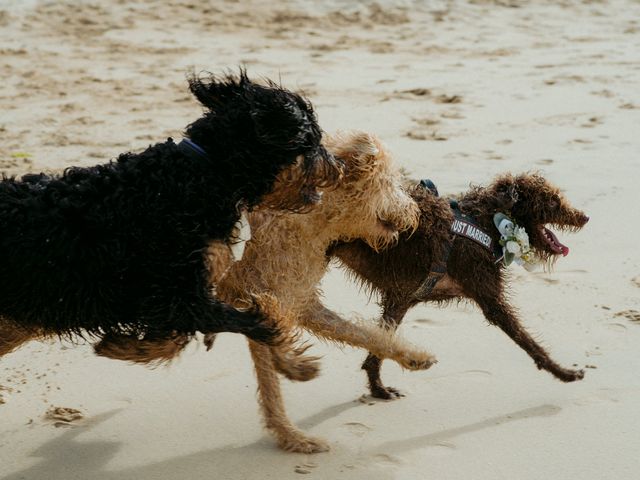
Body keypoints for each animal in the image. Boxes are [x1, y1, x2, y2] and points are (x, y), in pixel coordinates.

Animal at [0, 71, 340, 362]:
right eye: (313, 140)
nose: (338, 167)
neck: (203, 174)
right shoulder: (176, 291)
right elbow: (253, 321)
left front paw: (124, 346)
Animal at [212, 132, 438, 454]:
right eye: (391, 181)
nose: (415, 212)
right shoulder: (249, 288)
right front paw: (295, 373)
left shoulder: (298, 298)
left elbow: (363, 333)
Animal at [332, 174, 588, 400]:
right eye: (552, 200)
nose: (585, 217)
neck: (487, 221)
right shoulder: (491, 301)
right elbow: (530, 343)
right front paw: (565, 373)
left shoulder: (401, 299)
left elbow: (379, 346)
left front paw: (378, 388)